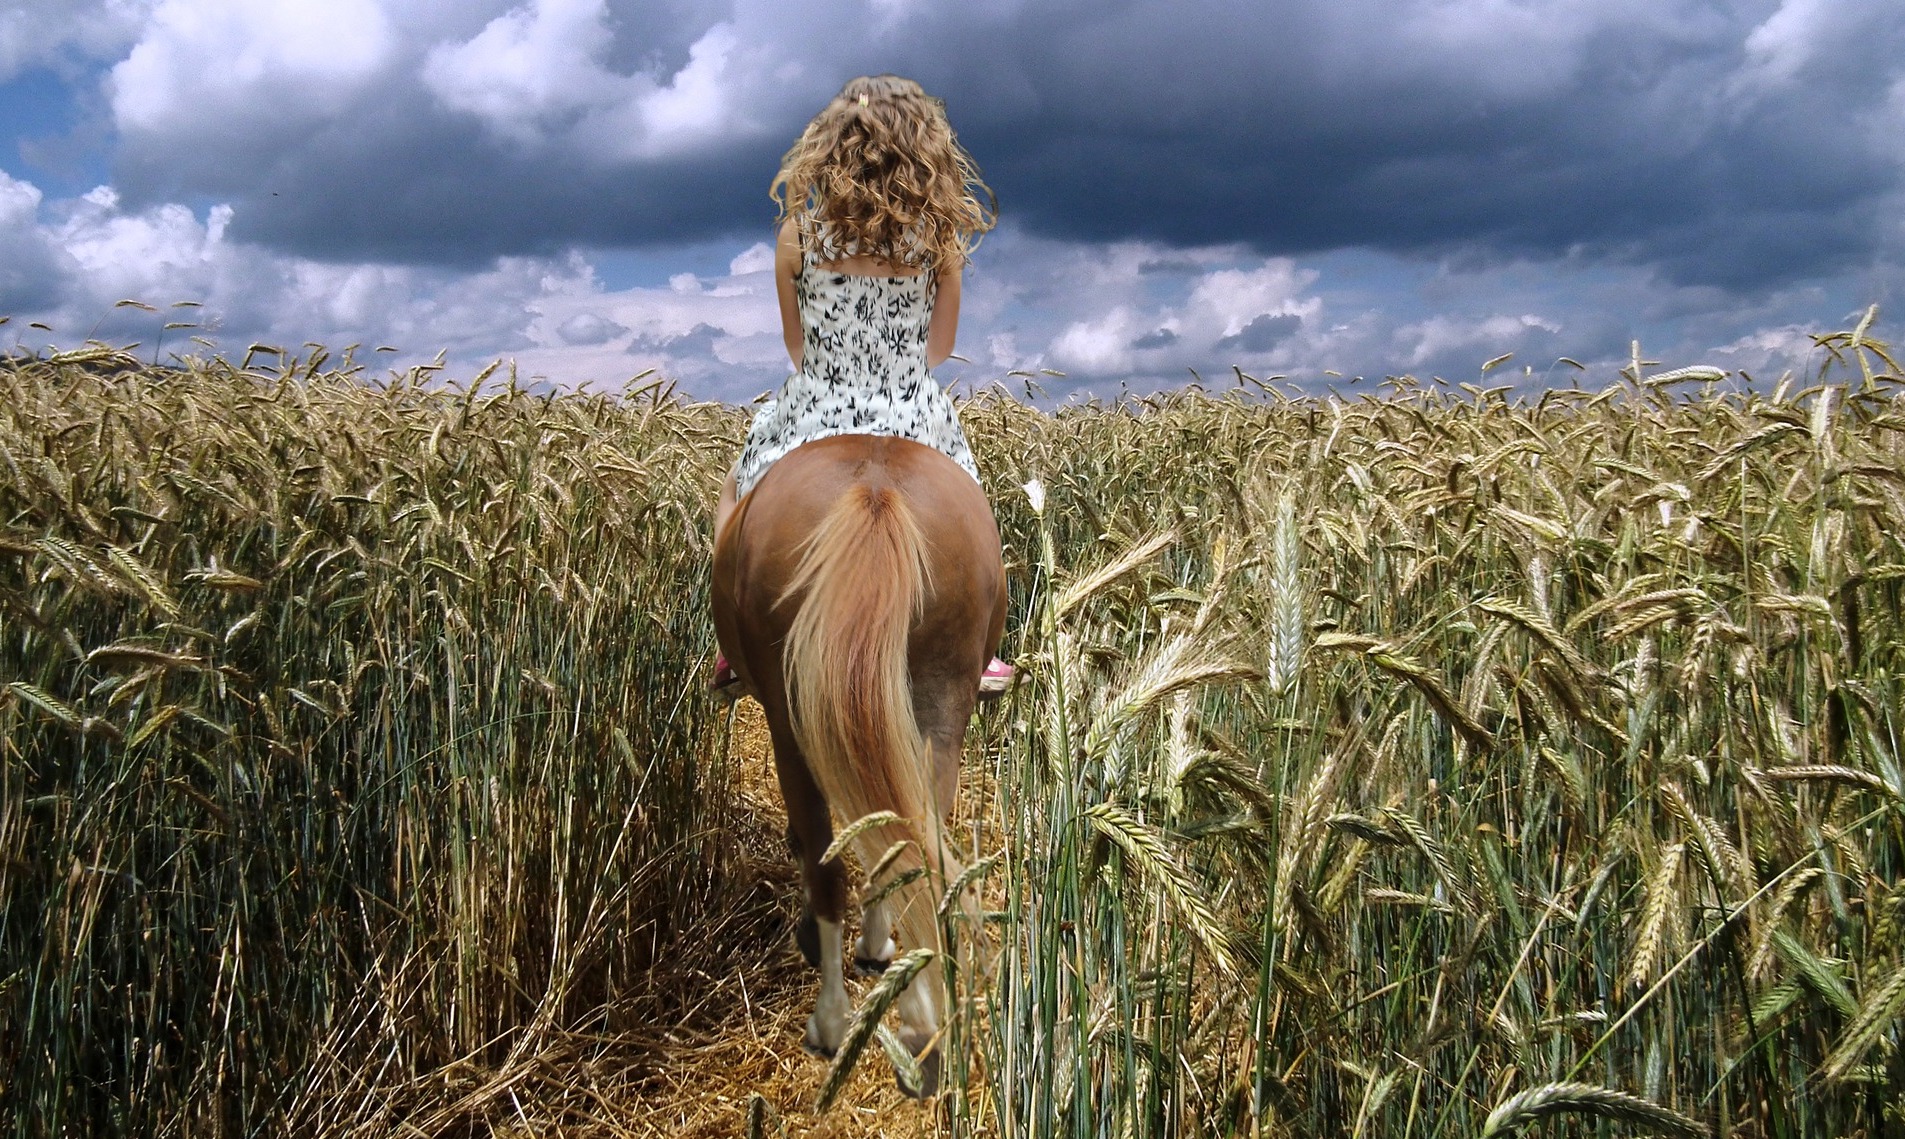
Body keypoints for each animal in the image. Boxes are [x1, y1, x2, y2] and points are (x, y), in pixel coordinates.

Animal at [716, 436, 1013, 1097]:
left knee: (829, 865)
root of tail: (875, 490)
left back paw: (832, 1022)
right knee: (914, 849)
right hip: (938, 704)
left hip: (790, 718)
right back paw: (922, 1024)